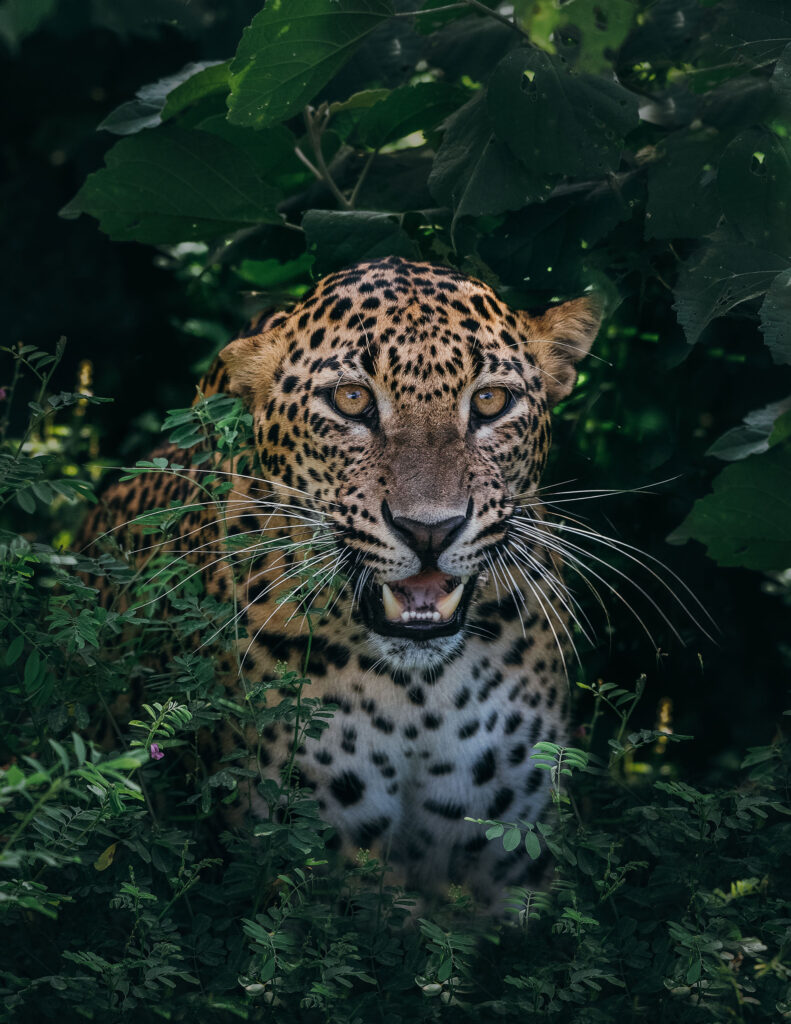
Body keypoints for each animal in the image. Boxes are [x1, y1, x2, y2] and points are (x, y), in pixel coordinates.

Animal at [81, 256, 598, 913]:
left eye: (490, 401)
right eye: (352, 400)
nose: (430, 529)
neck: (420, 694)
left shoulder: (512, 848)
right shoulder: (309, 849)